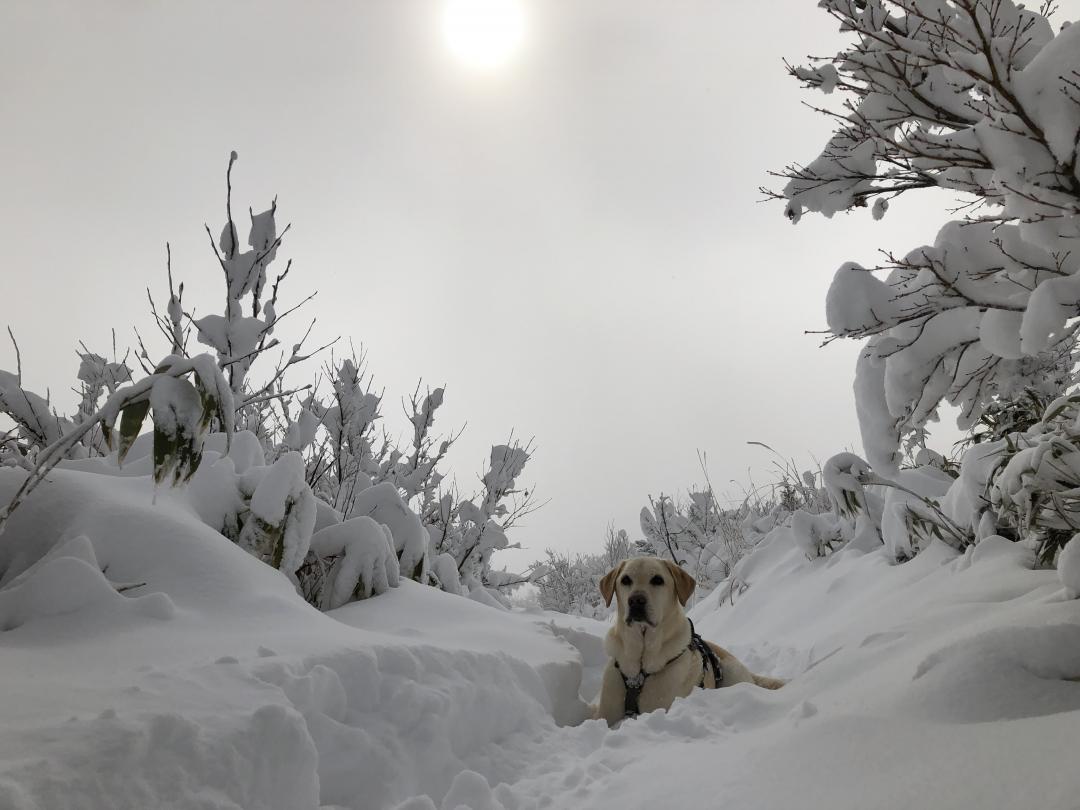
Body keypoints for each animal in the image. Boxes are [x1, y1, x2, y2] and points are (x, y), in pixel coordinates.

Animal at [596, 557, 781, 730]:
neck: (640, 669)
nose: (635, 600)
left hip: (732, 673)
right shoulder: (606, 713)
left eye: (657, 580)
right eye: (625, 580)